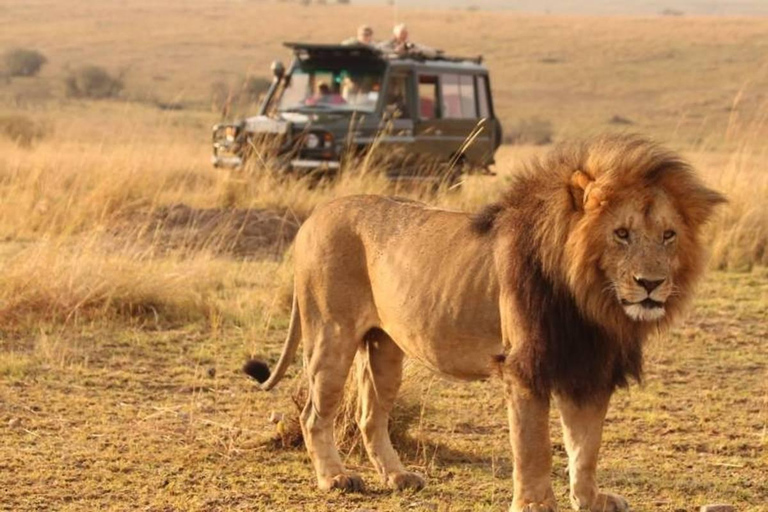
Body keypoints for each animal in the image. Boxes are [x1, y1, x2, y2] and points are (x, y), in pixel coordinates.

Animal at [244, 134, 728, 510]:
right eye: (622, 234)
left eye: (668, 235)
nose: (651, 284)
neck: (592, 302)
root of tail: (315, 215)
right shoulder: (524, 366)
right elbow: (534, 448)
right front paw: (534, 504)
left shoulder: (589, 367)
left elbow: (585, 447)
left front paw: (590, 499)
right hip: (332, 334)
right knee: (314, 413)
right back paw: (335, 478)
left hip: (384, 346)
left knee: (369, 415)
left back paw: (398, 477)